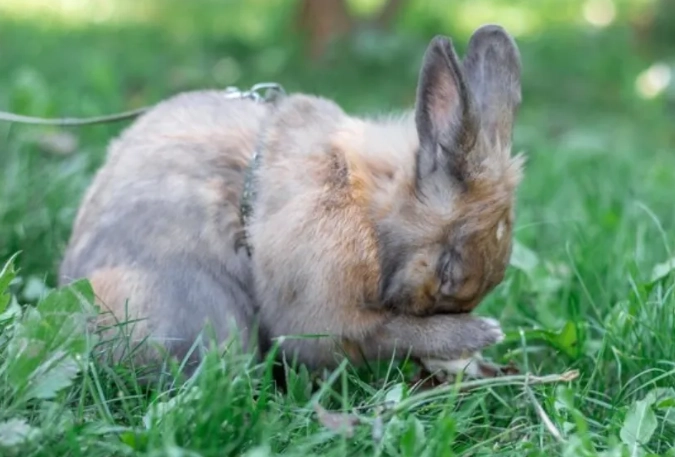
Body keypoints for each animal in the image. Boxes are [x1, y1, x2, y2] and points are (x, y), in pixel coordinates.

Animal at [58, 24, 523, 379]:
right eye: (447, 270)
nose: (456, 315)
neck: (365, 208)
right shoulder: (324, 309)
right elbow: (380, 333)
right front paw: (477, 335)